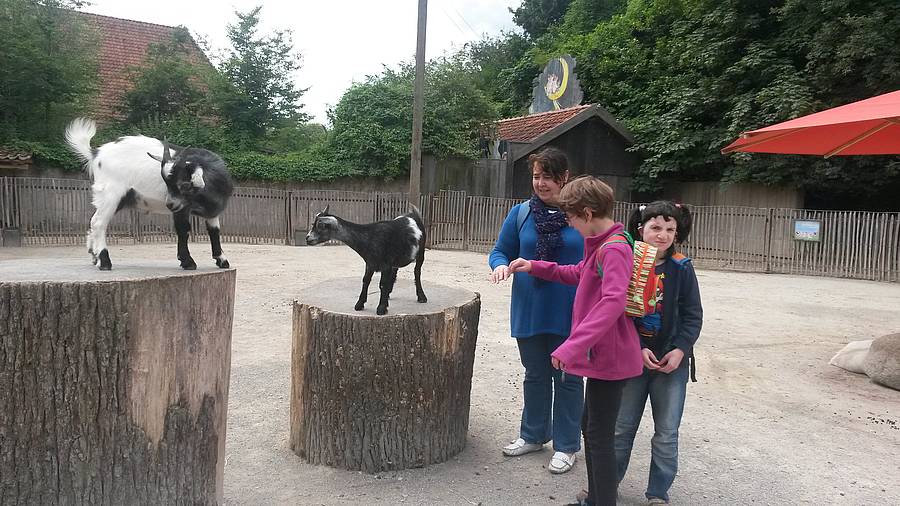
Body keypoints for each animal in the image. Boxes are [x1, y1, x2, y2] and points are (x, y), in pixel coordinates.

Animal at [64, 117, 234, 271]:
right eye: (167, 183)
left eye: (184, 184)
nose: (169, 204)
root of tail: (96, 154)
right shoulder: (182, 208)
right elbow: (183, 229)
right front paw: (188, 262)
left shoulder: (212, 211)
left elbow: (214, 232)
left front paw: (222, 260)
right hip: (111, 194)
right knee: (98, 222)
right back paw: (105, 262)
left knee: (93, 220)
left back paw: (95, 257)